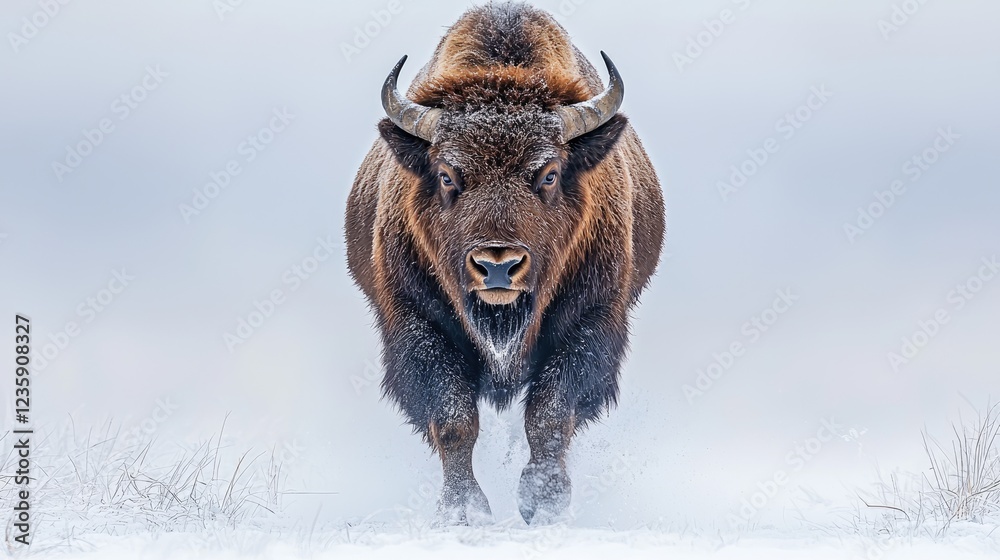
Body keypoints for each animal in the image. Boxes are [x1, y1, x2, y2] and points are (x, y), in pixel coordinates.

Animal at [345, 2, 665, 525]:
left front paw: (544, 501)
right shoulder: (417, 324)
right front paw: (463, 510)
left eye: (549, 174)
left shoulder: (591, 321)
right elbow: (453, 419)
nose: (497, 265)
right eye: (448, 175)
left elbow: (549, 415)